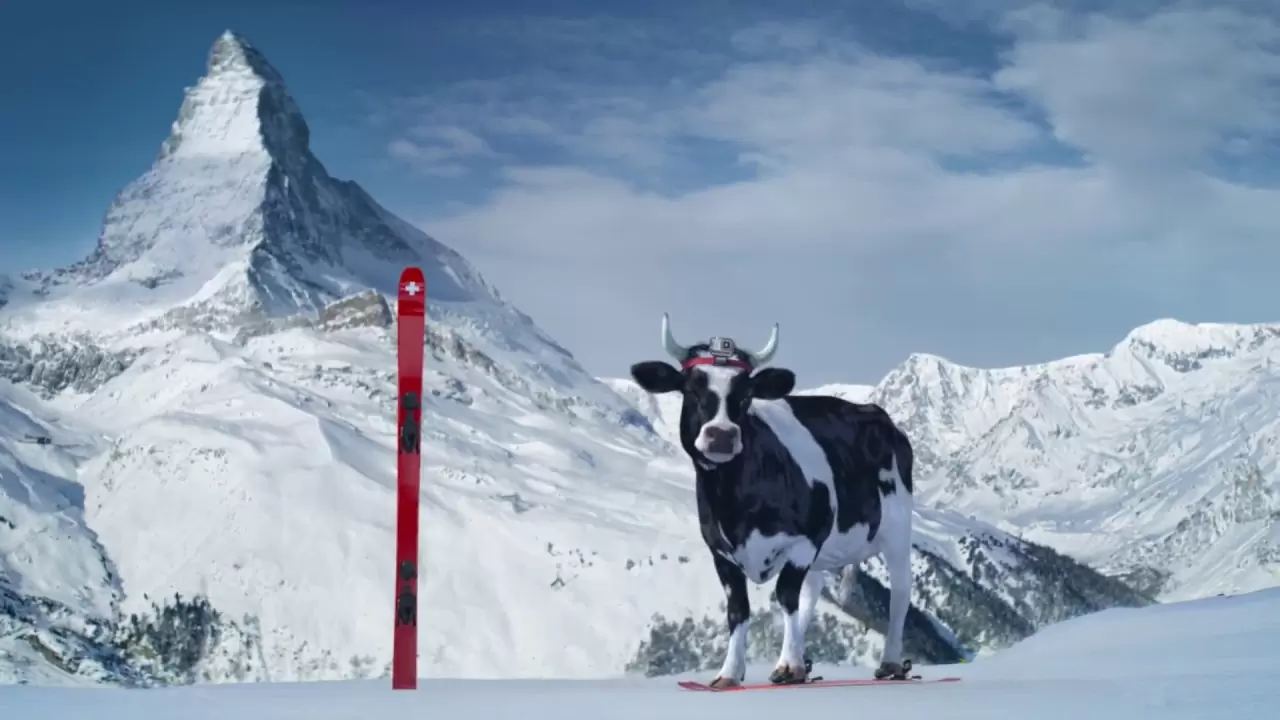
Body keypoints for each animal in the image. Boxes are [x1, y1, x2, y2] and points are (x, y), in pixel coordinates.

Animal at [628, 314, 916, 688]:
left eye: (747, 394)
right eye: (691, 388)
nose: (721, 435)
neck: (734, 503)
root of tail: (880, 416)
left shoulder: (805, 539)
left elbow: (785, 596)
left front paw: (788, 667)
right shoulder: (720, 552)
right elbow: (739, 610)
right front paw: (731, 673)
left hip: (897, 528)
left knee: (900, 591)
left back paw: (890, 663)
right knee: (812, 593)